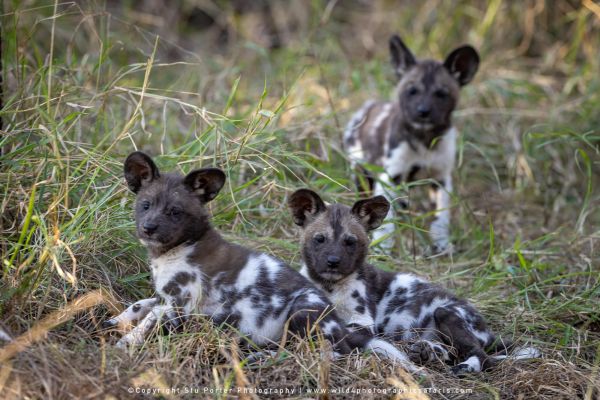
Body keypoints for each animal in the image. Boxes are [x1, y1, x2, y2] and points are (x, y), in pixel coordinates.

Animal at [103, 152, 420, 374]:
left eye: (175, 212)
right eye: (145, 205)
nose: (149, 228)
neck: (174, 251)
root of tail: (339, 326)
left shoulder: (178, 305)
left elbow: (147, 323)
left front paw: (124, 344)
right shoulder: (164, 298)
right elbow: (140, 305)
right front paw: (115, 322)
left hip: (302, 312)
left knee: (320, 353)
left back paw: (260, 357)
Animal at [288, 189, 540, 374]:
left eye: (350, 242)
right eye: (320, 239)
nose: (333, 262)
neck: (330, 286)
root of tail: (488, 330)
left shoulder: (362, 321)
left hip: (446, 313)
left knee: (483, 357)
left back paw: (465, 367)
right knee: (451, 351)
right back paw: (430, 353)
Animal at [344, 34, 480, 253]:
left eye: (441, 94)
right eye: (412, 91)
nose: (423, 111)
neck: (424, 139)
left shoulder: (440, 178)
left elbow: (441, 217)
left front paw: (441, 242)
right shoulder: (389, 176)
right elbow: (386, 222)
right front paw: (382, 248)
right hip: (361, 172)